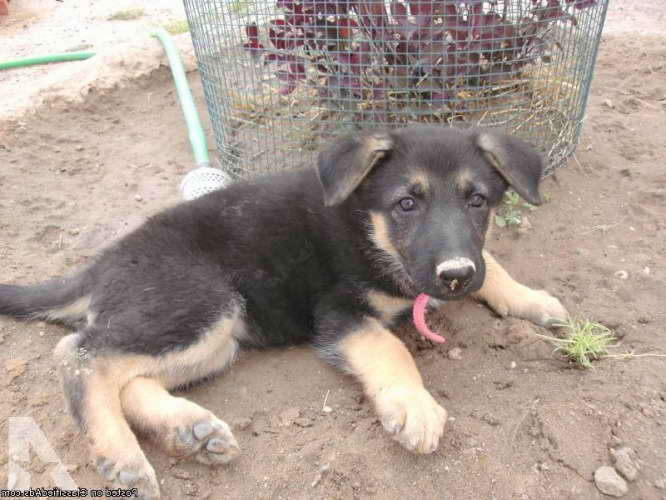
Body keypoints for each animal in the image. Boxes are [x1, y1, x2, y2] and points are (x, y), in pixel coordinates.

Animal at [0, 125, 564, 496]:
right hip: (202, 301)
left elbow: (492, 261)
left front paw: (531, 298)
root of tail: (102, 265)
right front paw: (413, 406)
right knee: (80, 351)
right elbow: (390, 349)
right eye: (407, 203)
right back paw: (122, 456)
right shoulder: (340, 313)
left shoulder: (465, 259)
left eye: (478, 201)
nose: (454, 275)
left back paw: (190, 431)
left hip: (218, 336)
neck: (368, 227)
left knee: (128, 375)